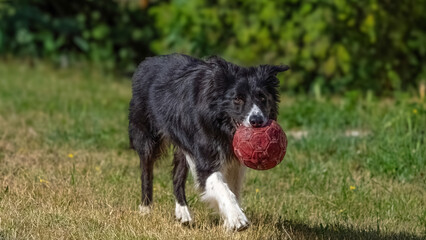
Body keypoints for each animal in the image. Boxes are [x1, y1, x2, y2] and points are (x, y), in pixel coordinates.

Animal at [128, 54, 290, 231]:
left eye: (262, 98)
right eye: (237, 99)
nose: (257, 121)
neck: (220, 123)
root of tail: (148, 60)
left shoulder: (234, 161)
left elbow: (233, 188)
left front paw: (227, 222)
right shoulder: (205, 155)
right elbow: (221, 186)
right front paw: (237, 218)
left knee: (177, 176)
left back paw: (183, 212)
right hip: (146, 134)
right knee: (146, 171)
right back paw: (145, 209)